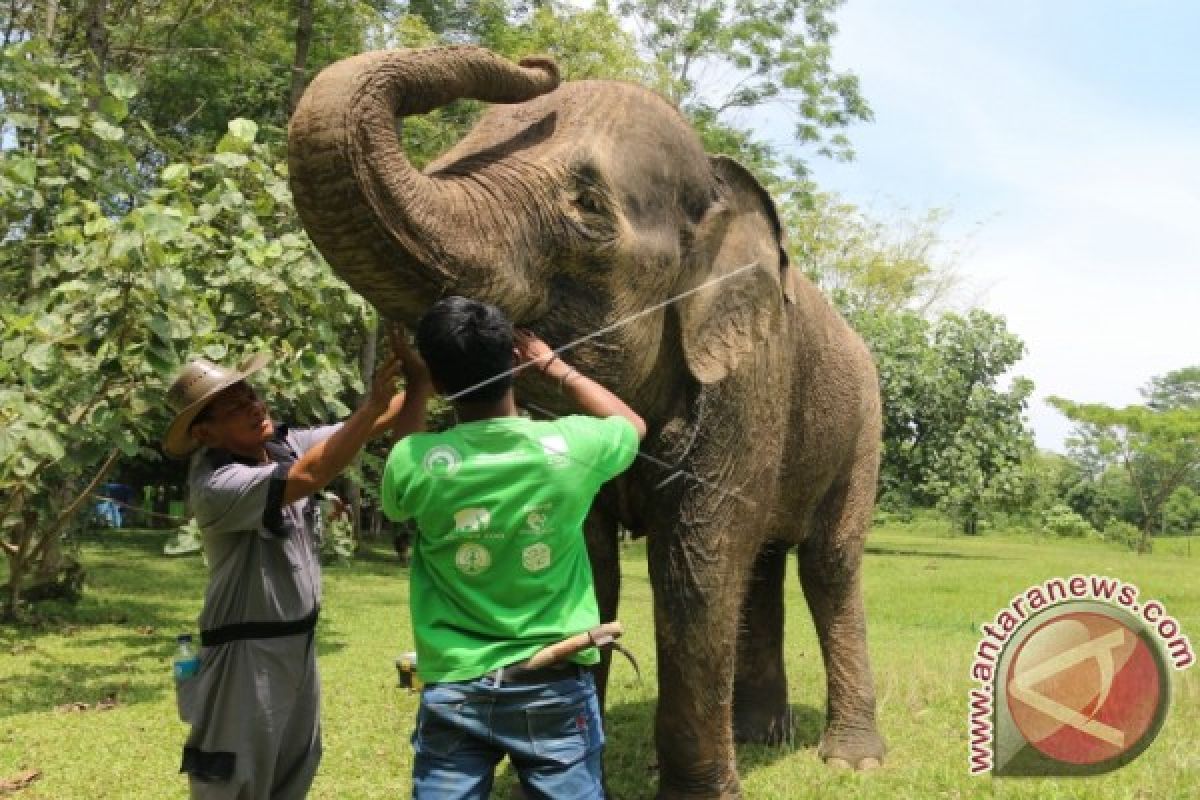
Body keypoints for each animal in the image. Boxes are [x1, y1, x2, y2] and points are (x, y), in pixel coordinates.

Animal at [285, 45, 888, 800]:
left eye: (589, 207)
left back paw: (851, 761)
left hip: (864, 426)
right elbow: (590, 559)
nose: (539, 59)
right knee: (764, 566)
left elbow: (696, 569)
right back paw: (758, 737)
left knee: (827, 563)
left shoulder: (749, 381)